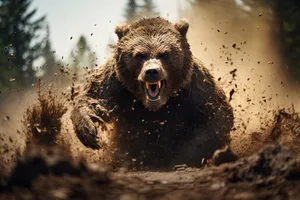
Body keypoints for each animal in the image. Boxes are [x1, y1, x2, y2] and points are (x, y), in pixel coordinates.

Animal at [71, 17, 234, 170]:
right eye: (139, 55)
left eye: (165, 54)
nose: (152, 71)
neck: (155, 106)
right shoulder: (115, 84)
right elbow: (93, 96)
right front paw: (89, 132)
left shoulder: (196, 89)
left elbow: (216, 120)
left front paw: (180, 160)